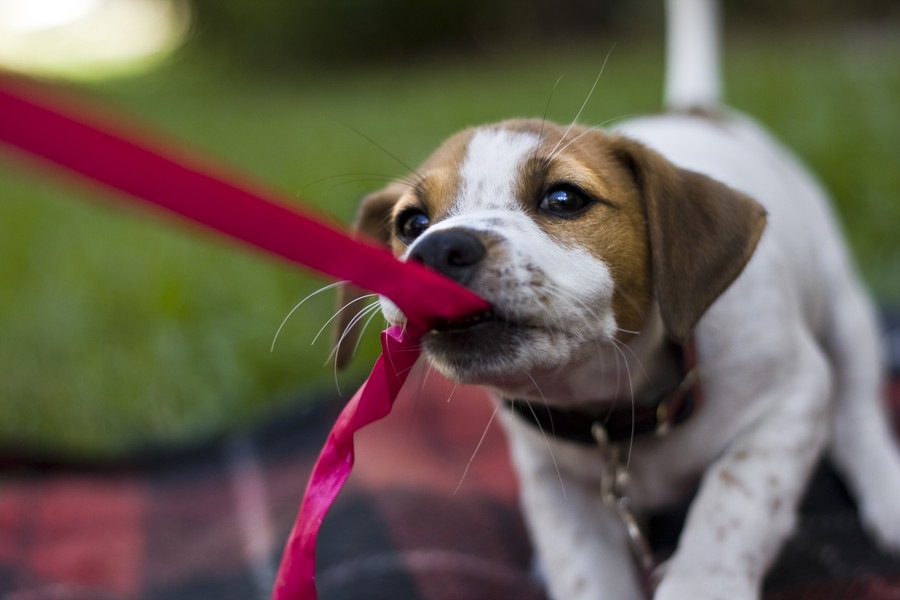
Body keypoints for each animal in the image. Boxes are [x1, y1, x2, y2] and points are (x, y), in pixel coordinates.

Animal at [332, 1, 900, 600]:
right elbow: (583, 565)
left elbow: (732, 500)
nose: (437, 249)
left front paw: (701, 581)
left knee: (857, 408)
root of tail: (694, 110)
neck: (616, 404)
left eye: (563, 198)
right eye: (411, 224)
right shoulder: (551, 478)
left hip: (842, 307)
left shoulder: (791, 401)